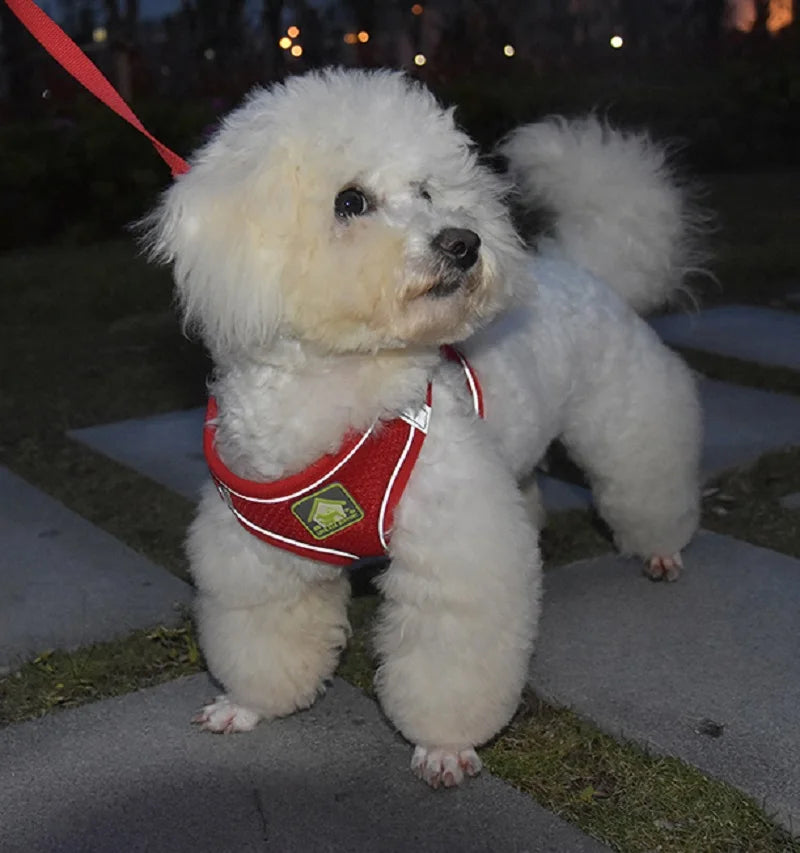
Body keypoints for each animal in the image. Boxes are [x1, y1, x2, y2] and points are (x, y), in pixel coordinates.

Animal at [142, 68, 700, 792]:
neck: (345, 384)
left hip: (624, 418)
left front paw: (444, 747)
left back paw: (660, 548)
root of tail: (584, 266)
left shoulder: (457, 554)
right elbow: (264, 639)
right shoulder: (257, 554)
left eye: (429, 192)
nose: (464, 242)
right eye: (350, 201)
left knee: (648, 477)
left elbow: (448, 661)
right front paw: (248, 704)